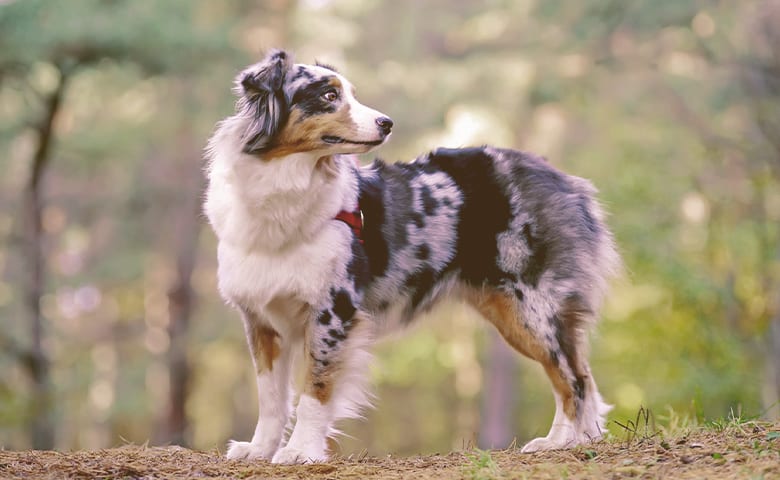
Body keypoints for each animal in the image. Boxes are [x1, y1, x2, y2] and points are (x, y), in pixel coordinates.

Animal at [206, 49, 620, 464]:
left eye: (350, 93)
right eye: (329, 96)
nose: (387, 123)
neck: (284, 185)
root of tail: (564, 179)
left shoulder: (333, 311)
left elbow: (315, 389)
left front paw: (300, 451)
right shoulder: (261, 318)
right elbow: (271, 397)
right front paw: (260, 448)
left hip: (531, 307)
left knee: (574, 378)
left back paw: (560, 442)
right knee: (579, 375)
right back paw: (577, 439)